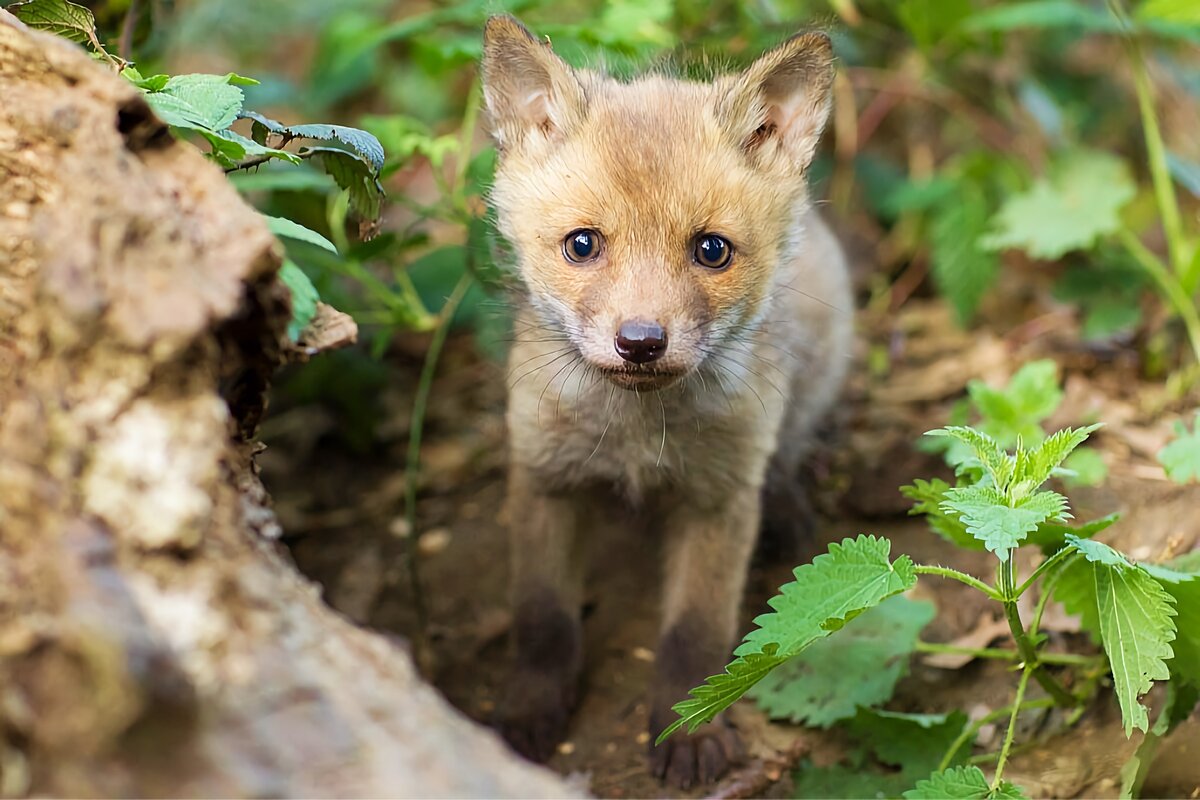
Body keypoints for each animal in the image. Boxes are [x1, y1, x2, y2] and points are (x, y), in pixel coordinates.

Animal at [477, 12, 854, 786]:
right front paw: (530, 709)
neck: (635, 437)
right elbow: (542, 619)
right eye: (582, 244)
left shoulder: (719, 499)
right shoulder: (543, 477)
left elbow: (694, 634)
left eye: (711, 250)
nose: (642, 342)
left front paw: (690, 728)